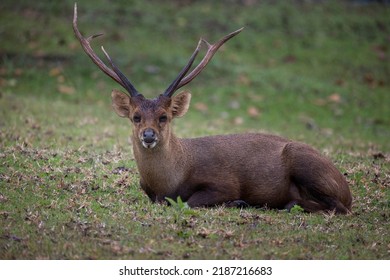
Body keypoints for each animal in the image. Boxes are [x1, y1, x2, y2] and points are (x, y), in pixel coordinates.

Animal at [73, 3, 354, 214]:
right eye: (135, 116)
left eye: (164, 117)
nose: (149, 135)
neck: (170, 181)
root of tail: (347, 190)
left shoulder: (223, 182)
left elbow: (188, 202)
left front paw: (239, 201)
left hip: (304, 162)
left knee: (337, 207)